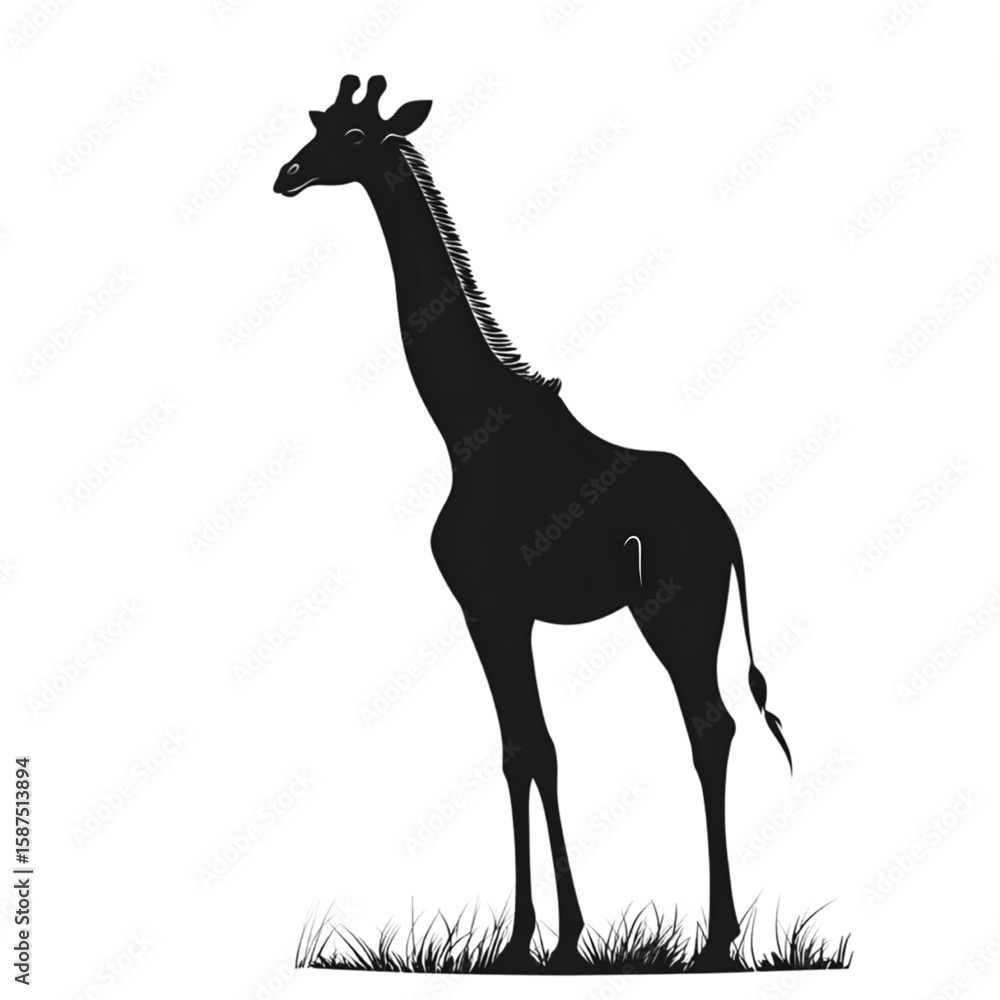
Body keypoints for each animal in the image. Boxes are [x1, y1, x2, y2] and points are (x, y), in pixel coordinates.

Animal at [274, 75, 792, 974]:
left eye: (354, 137)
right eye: (316, 125)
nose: (288, 174)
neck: (466, 429)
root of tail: (726, 526)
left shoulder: (491, 605)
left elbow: (529, 749)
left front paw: (541, 941)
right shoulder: (496, 612)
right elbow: (527, 750)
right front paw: (544, 937)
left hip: (676, 608)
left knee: (710, 725)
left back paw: (717, 942)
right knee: (713, 724)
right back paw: (713, 936)